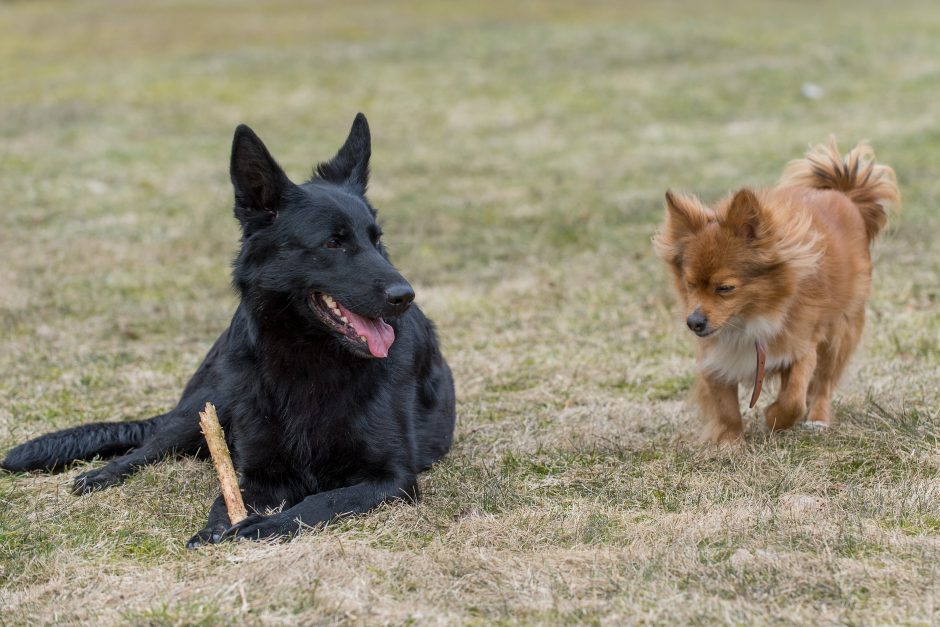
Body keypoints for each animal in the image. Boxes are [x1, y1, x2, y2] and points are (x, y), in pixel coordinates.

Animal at [0, 115, 456, 548]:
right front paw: (217, 529)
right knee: (149, 446)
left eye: (376, 239)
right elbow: (227, 496)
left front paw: (261, 527)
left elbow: (319, 502)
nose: (405, 296)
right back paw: (102, 475)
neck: (306, 360)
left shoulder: (390, 479)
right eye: (333, 243)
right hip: (207, 406)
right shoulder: (261, 473)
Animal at [648, 139, 900, 442]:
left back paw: (818, 418)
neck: (748, 318)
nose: (694, 322)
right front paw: (730, 445)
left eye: (725, 288)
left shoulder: (802, 347)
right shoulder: (715, 359)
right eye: (689, 285)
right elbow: (725, 408)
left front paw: (773, 418)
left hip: (840, 332)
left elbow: (793, 398)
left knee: (824, 383)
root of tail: (843, 192)